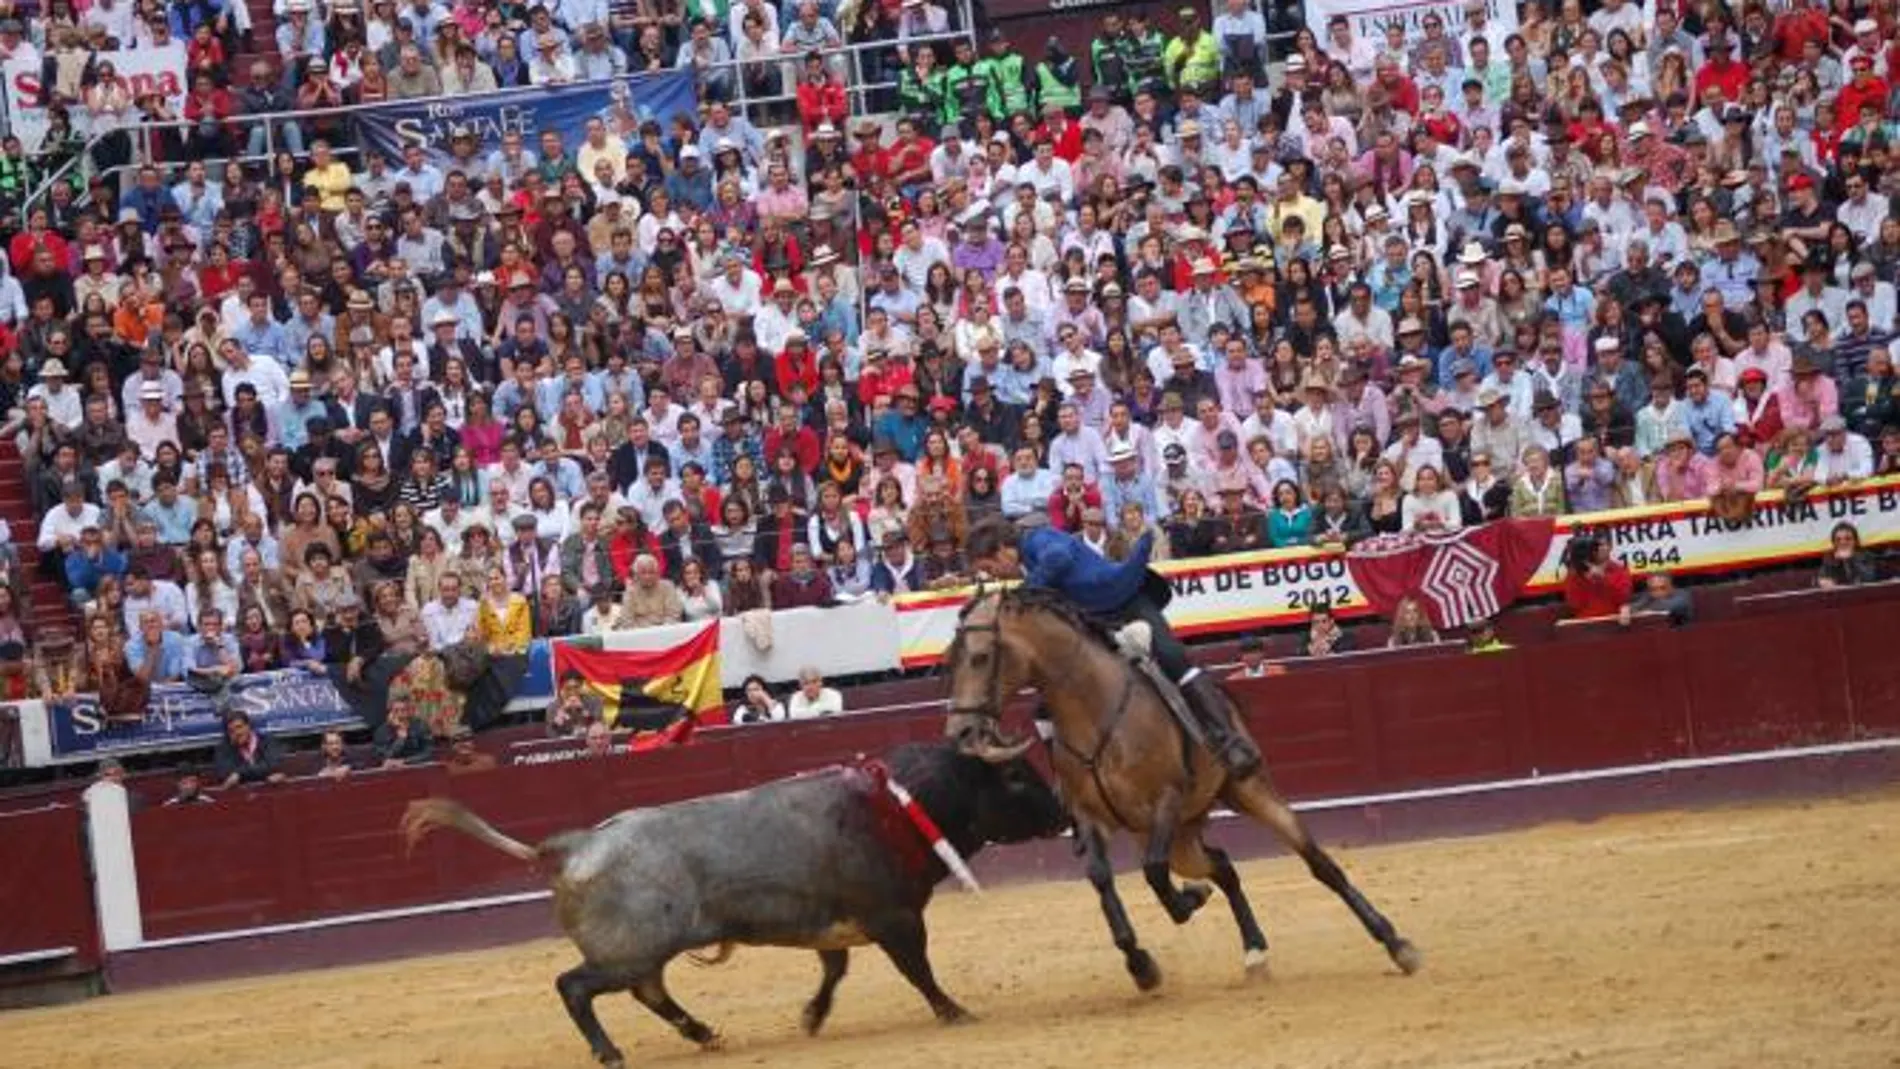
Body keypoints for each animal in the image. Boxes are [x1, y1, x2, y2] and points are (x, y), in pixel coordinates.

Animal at [402, 744, 1071, 1069]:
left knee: (650, 994)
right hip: (627, 952)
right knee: (576, 987)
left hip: (644, 956)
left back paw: (705, 1035)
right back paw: (610, 1053)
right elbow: (918, 971)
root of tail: (571, 845)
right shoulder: (897, 919)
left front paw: (811, 1017)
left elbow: (835, 971)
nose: (1068, 811)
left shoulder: (836, 924)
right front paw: (955, 1012)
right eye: (1017, 776)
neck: (897, 809)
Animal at [942, 588, 1421, 994]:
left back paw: (1396, 943)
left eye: (981, 657)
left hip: (1246, 792)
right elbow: (1100, 877)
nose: (960, 731)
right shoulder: (1090, 816)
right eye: (951, 659)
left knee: (1319, 863)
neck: (1093, 710)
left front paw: (1186, 903)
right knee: (1222, 865)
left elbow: (1153, 873)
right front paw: (1141, 964)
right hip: (1182, 837)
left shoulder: (1166, 800)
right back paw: (1254, 952)